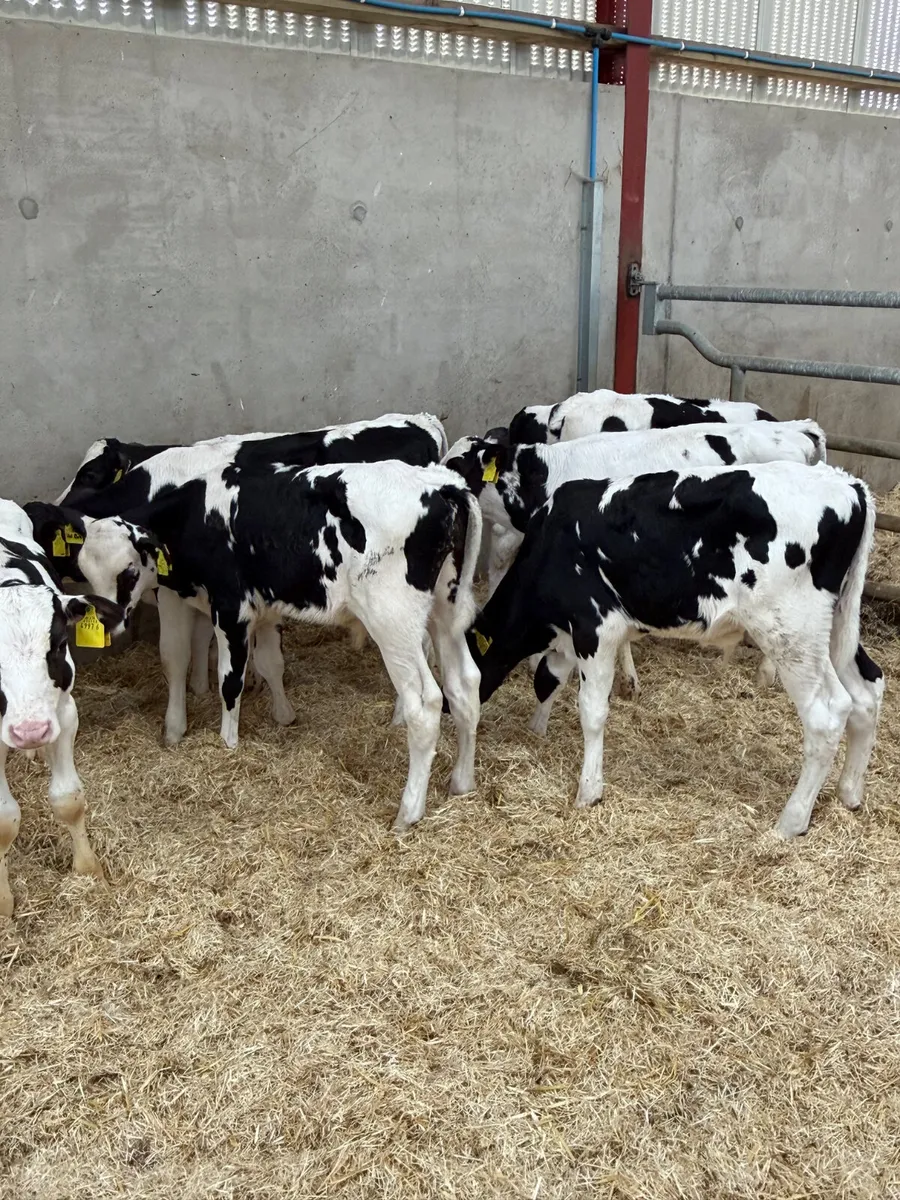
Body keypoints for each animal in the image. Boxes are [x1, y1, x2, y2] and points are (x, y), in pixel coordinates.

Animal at [0, 500, 124, 914]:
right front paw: (4, 903)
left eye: (56, 644)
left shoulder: (65, 712)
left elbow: (68, 800)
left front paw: (87, 871)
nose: (30, 731)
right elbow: (3, 820)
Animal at [64, 457, 483, 832]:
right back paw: (462, 783)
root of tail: (439, 483)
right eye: (86, 572)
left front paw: (228, 744)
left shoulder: (230, 608)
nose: (107, 620)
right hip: (446, 611)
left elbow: (229, 680)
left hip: (394, 623)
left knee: (425, 705)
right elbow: (259, 662)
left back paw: (408, 812)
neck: (195, 516)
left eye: (128, 570)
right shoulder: (259, 607)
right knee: (465, 685)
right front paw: (276, 716)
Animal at [465, 461, 883, 839]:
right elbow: (549, 678)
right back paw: (849, 793)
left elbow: (591, 710)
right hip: (835, 628)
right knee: (868, 690)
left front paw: (588, 791)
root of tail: (846, 483)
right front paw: (538, 729)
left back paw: (790, 822)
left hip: (791, 632)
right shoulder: (572, 635)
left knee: (828, 714)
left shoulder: (595, 627)